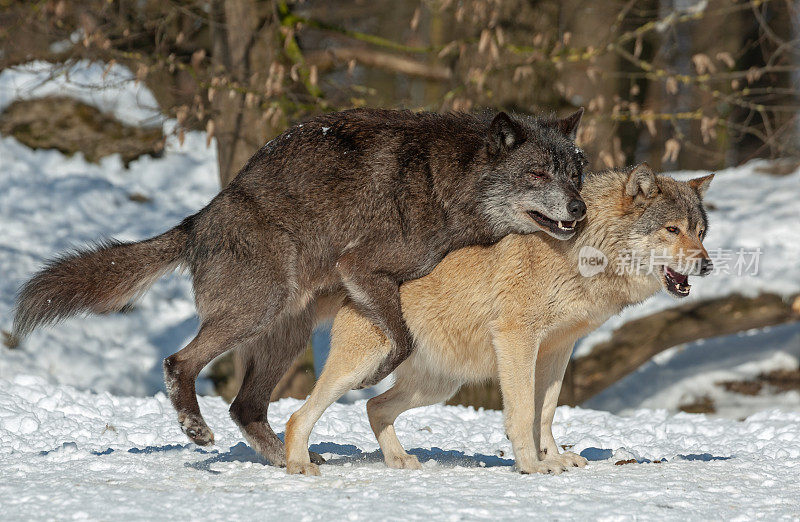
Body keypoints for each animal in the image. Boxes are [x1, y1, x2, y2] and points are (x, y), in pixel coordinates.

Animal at [282, 165, 712, 474]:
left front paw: (553, 457)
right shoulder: (517, 339)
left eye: (700, 232)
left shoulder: (558, 350)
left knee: (375, 407)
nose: (707, 264)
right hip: (359, 370)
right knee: (298, 416)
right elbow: (522, 412)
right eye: (672, 229)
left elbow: (545, 412)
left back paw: (398, 460)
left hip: (439, 387)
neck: (582, 252)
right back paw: (299, 465)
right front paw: (531, 466)